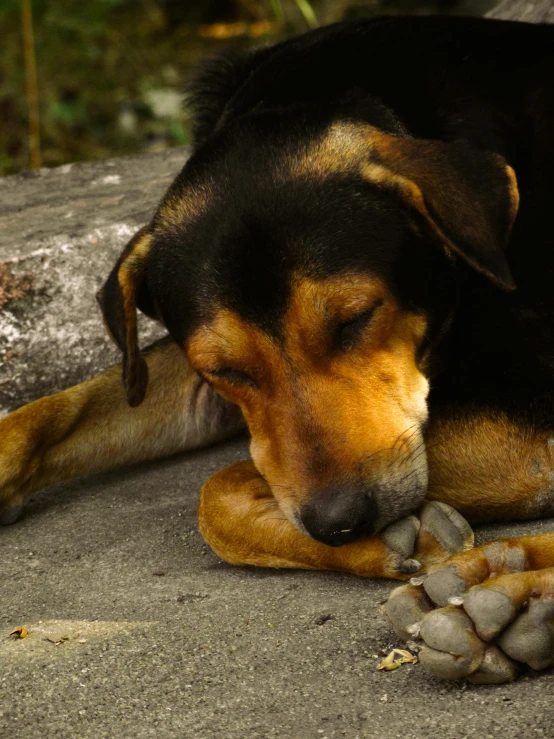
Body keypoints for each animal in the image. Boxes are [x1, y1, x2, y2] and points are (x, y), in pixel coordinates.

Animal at [1, 15, 552, 688]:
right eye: (225, 370)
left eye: (355, 319)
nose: (342, 525)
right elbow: (62, 413)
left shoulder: (530, 415)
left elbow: (218, 489)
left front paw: (407, 538)